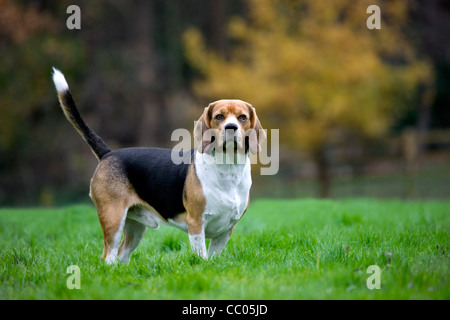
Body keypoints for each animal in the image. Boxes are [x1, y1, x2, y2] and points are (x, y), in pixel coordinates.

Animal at [51, 67, 266, 262]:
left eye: (242, 117)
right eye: (219, 117)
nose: (231, 128)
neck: (227, 168)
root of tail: (109, 153)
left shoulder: (226, 230)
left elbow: (213, 256)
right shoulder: (196, 224)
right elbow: (201, 256)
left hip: (135, 227)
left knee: (121, 256)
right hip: (113, 218)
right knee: (108, 257)